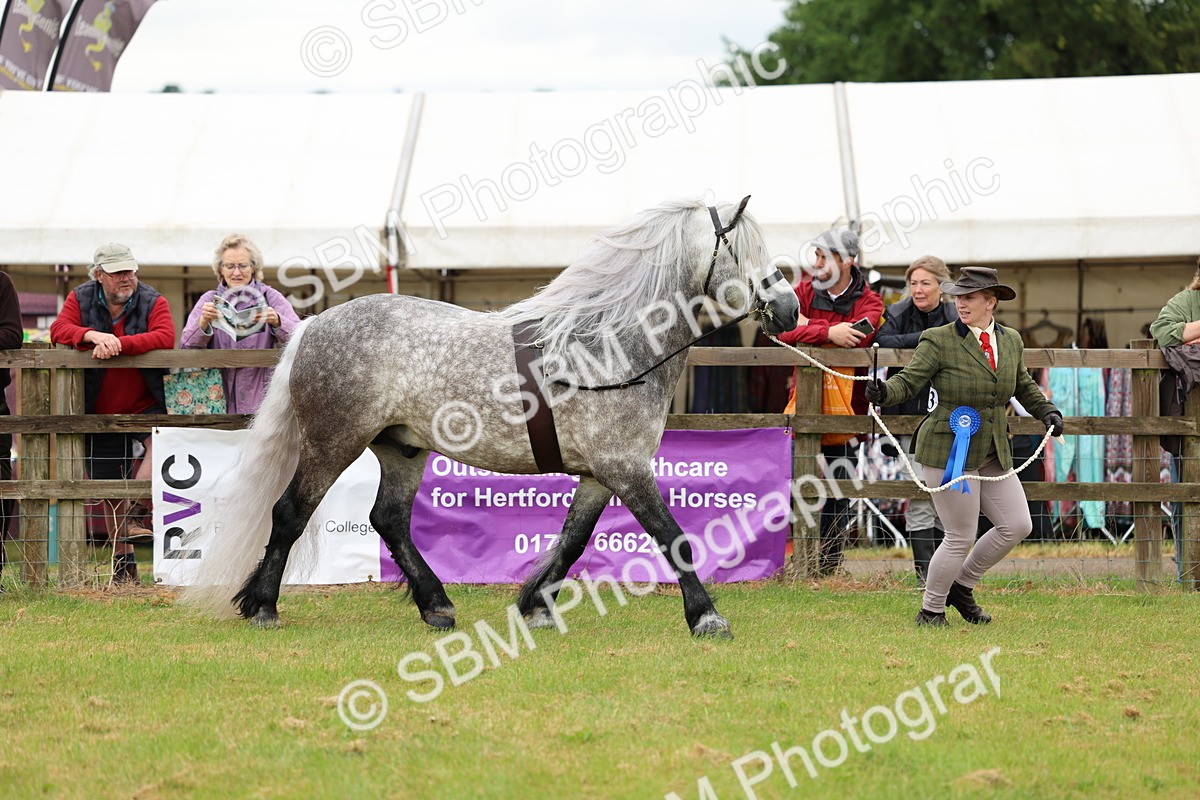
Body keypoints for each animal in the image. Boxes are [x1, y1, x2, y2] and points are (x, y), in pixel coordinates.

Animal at [183, 197, 799, 638]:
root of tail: (314, 324)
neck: (610, 345)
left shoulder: (600, 475)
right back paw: (264, 606)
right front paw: (707, 618)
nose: (790, 308)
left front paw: (535, 606)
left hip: (402, 448)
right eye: (742, 249)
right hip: (332, 443)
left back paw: (436, 606)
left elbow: (573, 542)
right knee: (290, 512)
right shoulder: (625, 468)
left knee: (389, 519)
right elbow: (674, 539)